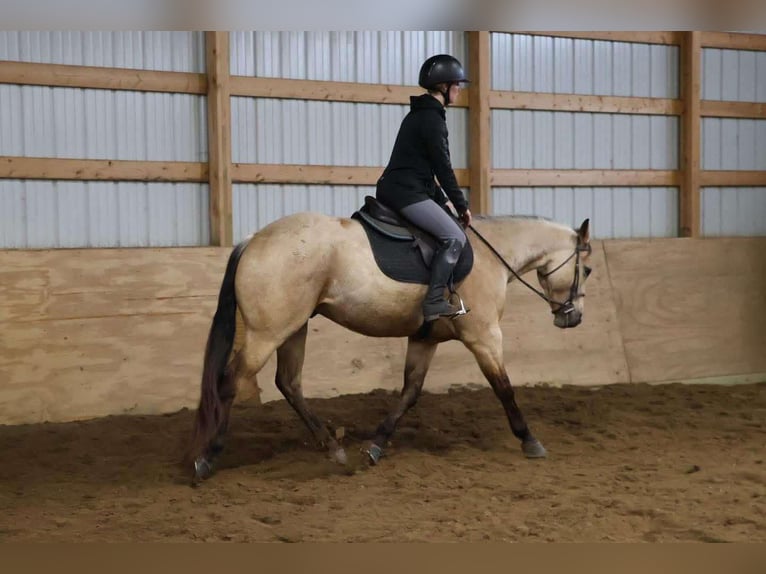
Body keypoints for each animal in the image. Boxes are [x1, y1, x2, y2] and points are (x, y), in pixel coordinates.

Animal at [186, 209, 592, 481]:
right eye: (586, 270)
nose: (573, 318)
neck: (490, 255)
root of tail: (253, 240)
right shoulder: (484, 336)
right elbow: (504, 388)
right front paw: (530, 441)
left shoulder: (425, 339)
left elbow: (410, 393)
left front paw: (376, 444)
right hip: (267, 333)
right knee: (230, 382)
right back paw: (207, 458)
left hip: (294, 328)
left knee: (289, 383)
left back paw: (333, 449)